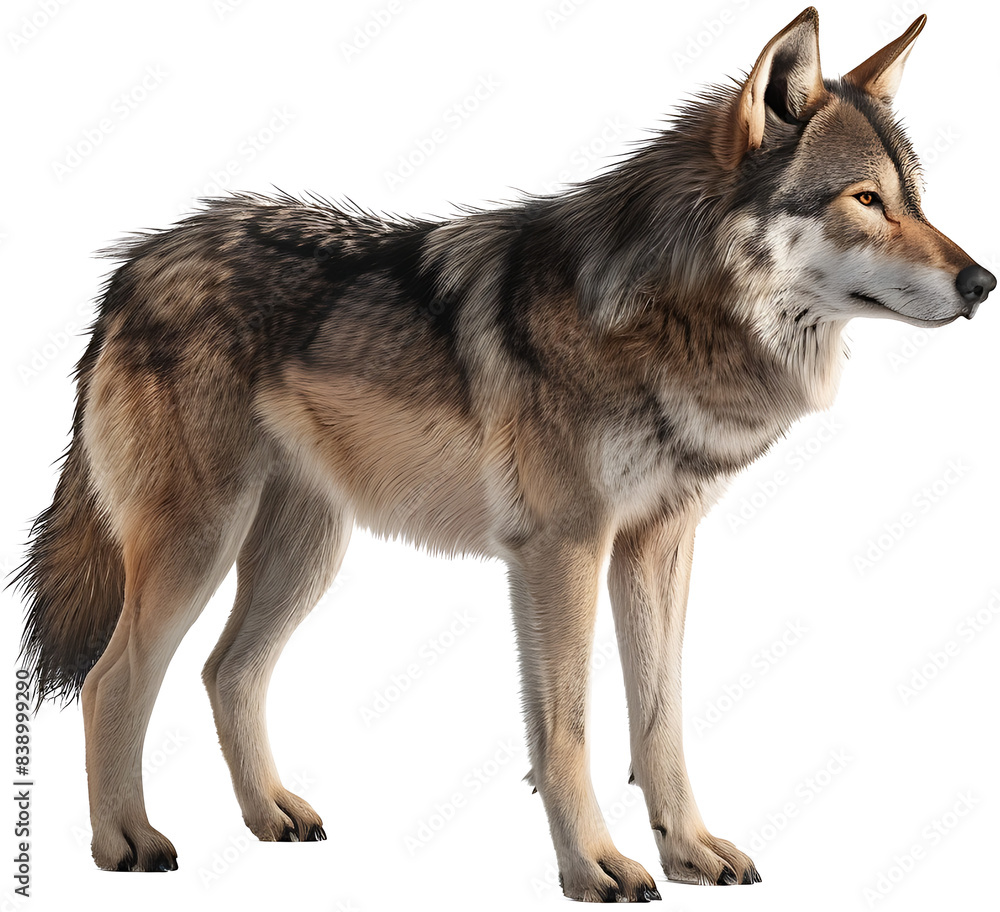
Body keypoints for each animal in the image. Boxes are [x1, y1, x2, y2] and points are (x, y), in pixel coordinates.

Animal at [14, 7, 993, 902]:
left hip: (306, 552)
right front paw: (595, 866)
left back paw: (271, 816)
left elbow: (662, 721)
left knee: (227, 672)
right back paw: (128, 843)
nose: (982, 281)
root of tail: (135, 264)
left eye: (916, 197)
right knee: (111, 682)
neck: (667, 320)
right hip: (199, 544)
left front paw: (690, 851)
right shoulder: (561, 549)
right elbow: (567, 730)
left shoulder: (656, 545)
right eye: (864, 199)